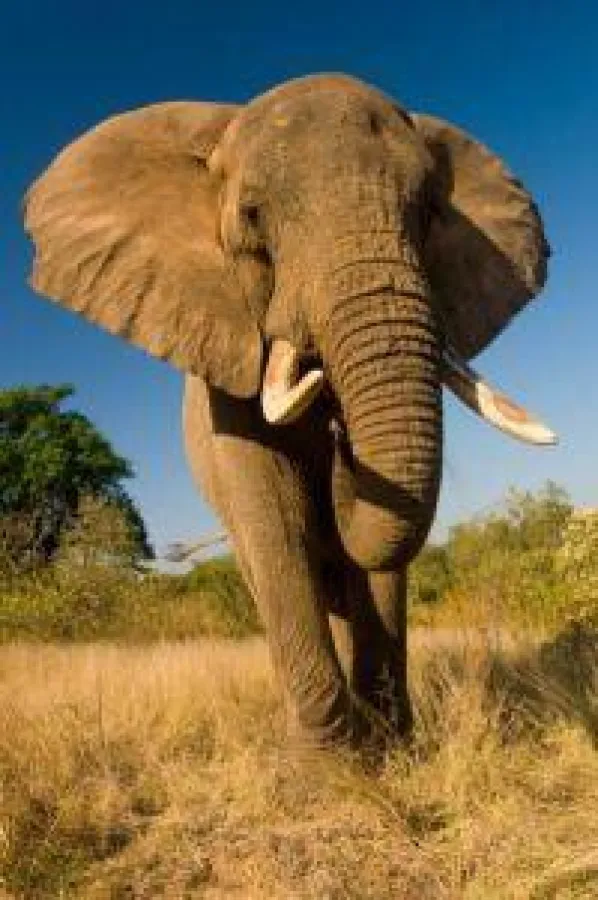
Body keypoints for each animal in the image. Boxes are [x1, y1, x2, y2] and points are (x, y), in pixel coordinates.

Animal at [23, 73, 556, 750]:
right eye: (253, 217)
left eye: (430, 214)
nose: (338, 427)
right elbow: (274, 518)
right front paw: (330, 764)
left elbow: (379, 566)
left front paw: (392, 749)